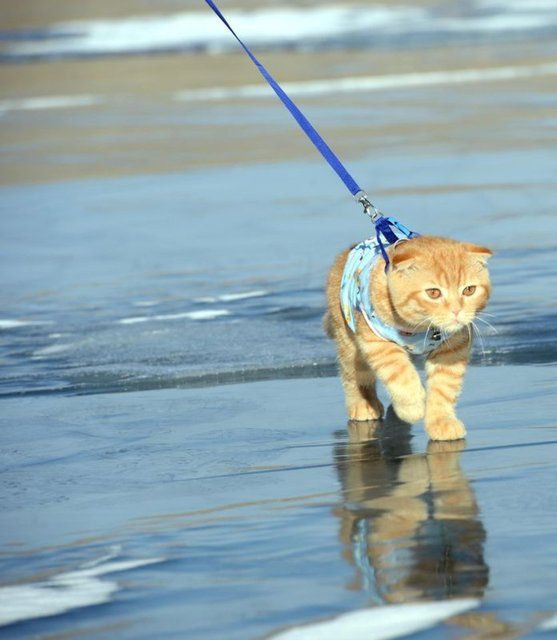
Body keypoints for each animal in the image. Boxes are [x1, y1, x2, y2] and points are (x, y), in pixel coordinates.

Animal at [326, 235, 490, 440]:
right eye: (433, 293)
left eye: (469, 290)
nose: (456, 311)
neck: (420, 328)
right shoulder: (377, 341)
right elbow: (400, 373)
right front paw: (412, 408)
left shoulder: (453, 347)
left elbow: (443, 386)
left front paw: (441, 421)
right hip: (349, 340)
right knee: (353, 374)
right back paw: (363, 403)